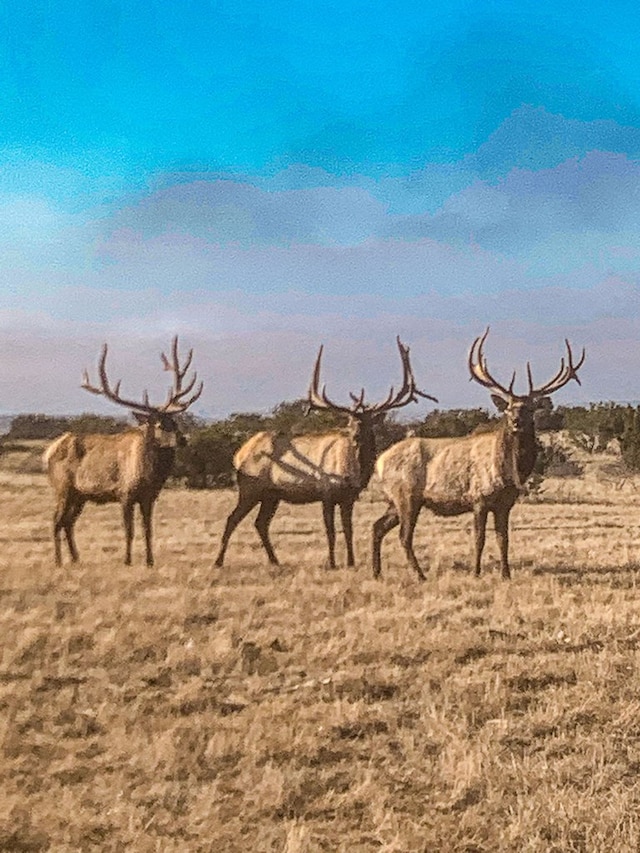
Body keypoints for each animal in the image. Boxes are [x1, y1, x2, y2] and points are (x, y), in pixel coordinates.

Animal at [43, 338, 202, 564]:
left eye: (175, 422)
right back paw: (58, 561)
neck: (151, 474)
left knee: (68, 522)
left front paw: (150, 562)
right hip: (62, 487)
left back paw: (75, 559)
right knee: (56, 521)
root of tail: (49, 451)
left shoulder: (149, 497)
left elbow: (148, 530)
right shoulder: (125, 493)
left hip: (80, 495)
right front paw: (127, 561)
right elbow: (129, 530)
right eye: (160, 425)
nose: (183, 439)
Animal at [215, 336, 436, 568]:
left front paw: (351, 562)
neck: (354, 472)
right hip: (250, 487)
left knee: (260, 523)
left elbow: (348, 530)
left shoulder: (349, 497)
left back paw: (275, 560)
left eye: (367, 423)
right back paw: (219, 561)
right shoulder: (326, 492)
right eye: (349, 421)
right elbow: (330, 531)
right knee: (232, 519)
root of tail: (239, 454)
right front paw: (331, 563)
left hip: (271, 494)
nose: (356, 435)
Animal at [370, 330, 584, 584]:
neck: (509, 473)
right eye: (508, 407)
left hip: (394, 500)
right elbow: (479, 538)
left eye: (530, 408)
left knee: (377, 527)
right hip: (407, 495)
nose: (516, 422)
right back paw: (420, 575)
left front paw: (506, 574)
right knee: (404, 536)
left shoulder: (505, 504)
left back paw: (377, 572)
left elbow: (503, 539)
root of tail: (379, 461)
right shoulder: (479, 498)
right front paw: (476, 572)